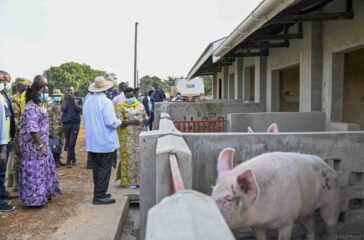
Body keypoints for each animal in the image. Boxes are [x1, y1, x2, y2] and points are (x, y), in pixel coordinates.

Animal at [212, 148, 340, 240]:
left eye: (228, 198)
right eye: (212, 193)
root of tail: (330, 167)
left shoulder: (287, 220)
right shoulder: (257, 226)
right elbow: (260, 237)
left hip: (331, 200)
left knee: (331, 224)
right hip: (306, 210)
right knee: (310, 226)